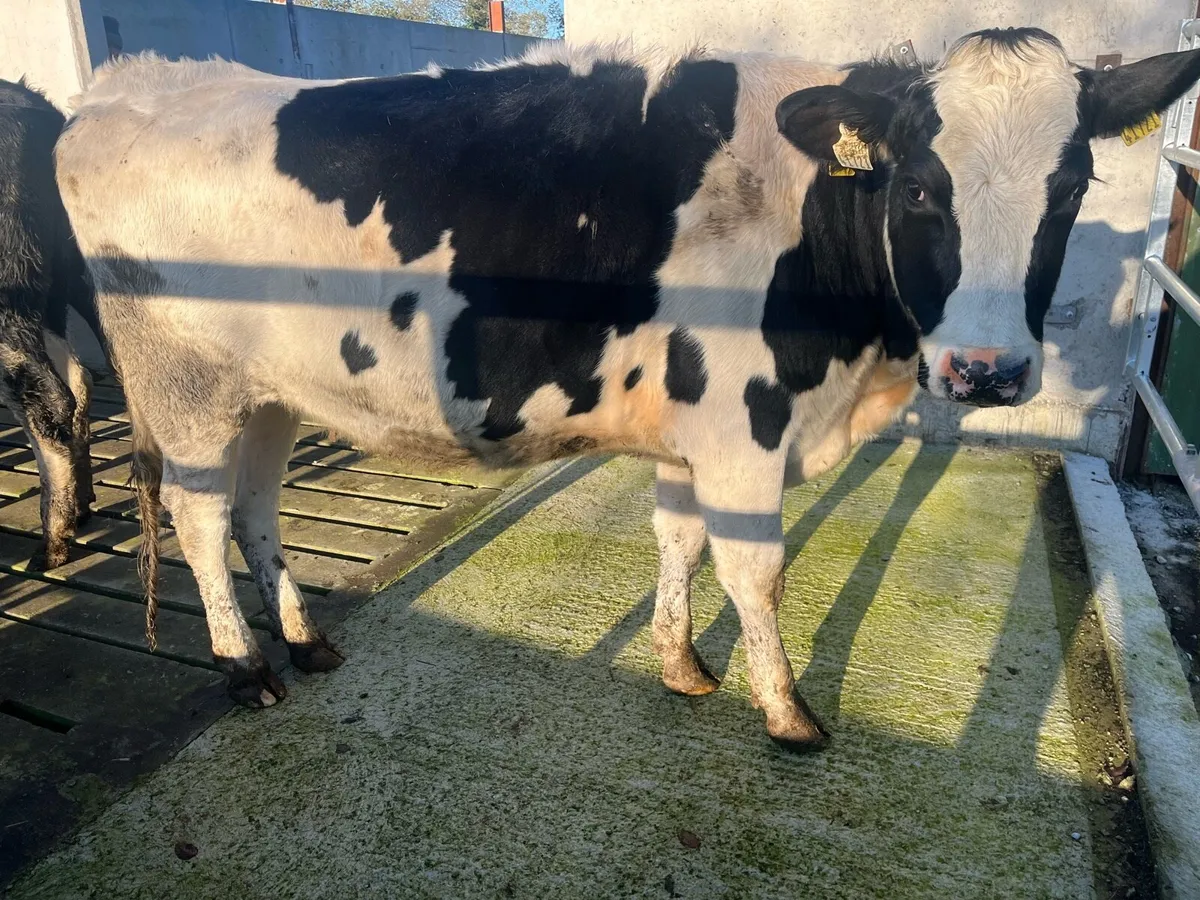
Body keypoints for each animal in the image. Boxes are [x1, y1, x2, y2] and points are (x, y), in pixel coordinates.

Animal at [55, 29, 1200, 751]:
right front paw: (787, 714)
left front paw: (682, 665)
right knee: (200, 517)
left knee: (255, 509)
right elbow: (757, 571)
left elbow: (680, 542)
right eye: (920, 187)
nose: (989, 369)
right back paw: (245, 668)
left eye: (1072, 187)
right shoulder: (743, 428)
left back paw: (301, 639)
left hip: (272, 391)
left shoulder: (695, 432)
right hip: (185, 383)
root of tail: (121, 87)